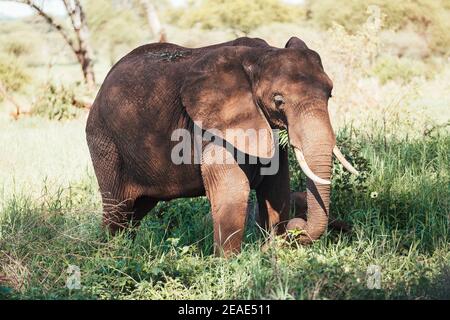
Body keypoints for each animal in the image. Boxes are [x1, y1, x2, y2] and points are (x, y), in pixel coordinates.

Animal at [85, 36, 358, 256]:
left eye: (330, 94)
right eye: (278, 100)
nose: (295, 229)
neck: (260, 55)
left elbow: (276, 185)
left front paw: (271, 252)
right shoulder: (216, 126)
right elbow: (233, 188)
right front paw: (231, 264)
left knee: (135, 211)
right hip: (104, 142)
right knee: (117, 210)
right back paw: (111, 256)